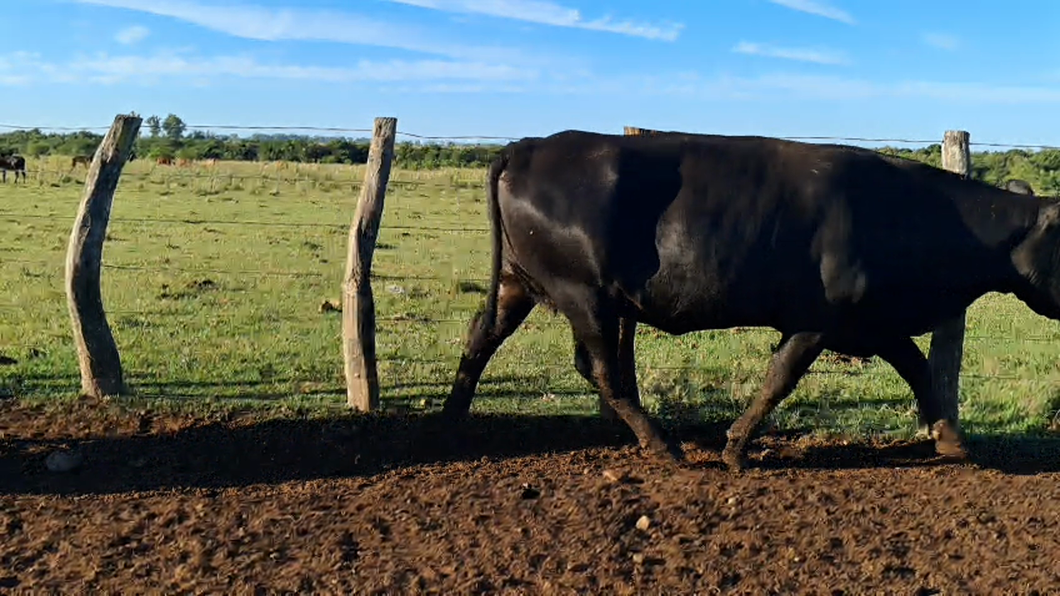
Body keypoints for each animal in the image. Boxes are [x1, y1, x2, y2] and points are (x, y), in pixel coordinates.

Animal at [444, 129, 1060, 472]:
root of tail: (528, 147)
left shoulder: (872, 322)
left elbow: (919, 369)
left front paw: (950, 440)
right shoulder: (815, 321)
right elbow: (778, 380)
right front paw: (736, 448)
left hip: (520, 284)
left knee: (481, 337)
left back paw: (451, 420)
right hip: (585, 295)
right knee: (600, 370)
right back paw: (662, 447)